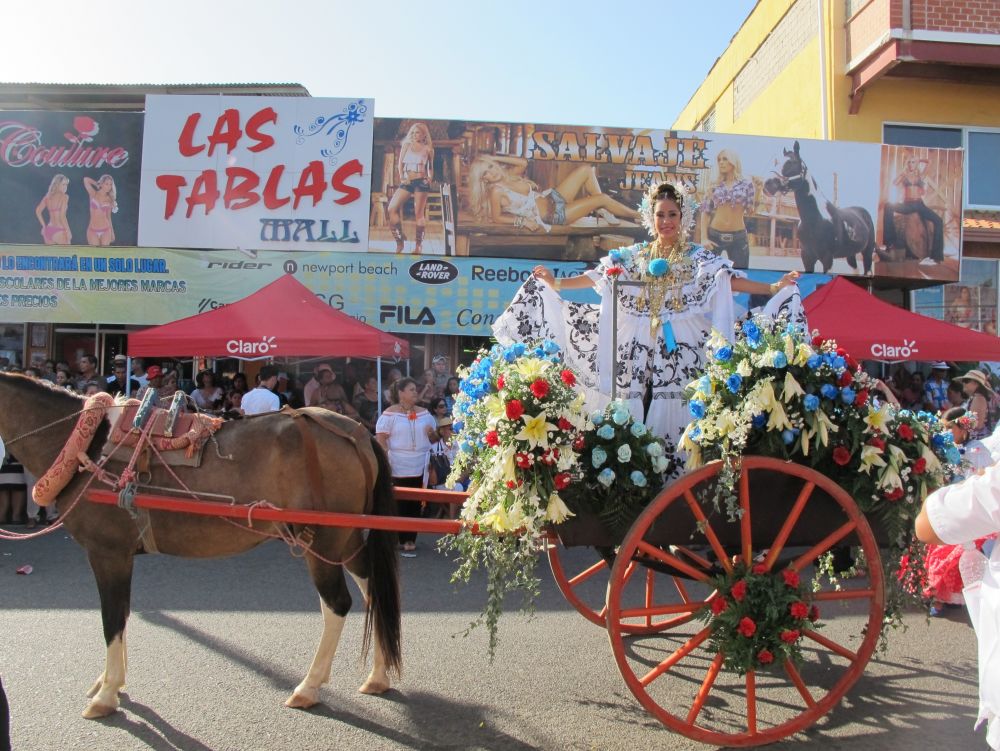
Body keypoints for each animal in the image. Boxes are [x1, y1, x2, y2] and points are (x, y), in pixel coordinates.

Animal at [1, 374, 404, 720]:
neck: (88, 446)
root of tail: (357, 433)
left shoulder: (107, 553)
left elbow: (112, 619)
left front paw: (107, 693)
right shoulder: (120, 556)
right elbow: (124, 614)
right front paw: (110, 682)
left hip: (323, 540)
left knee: (337, 605)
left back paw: (308, 686)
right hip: (345, 540)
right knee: (372, 593)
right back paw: (377, 676)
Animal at [764, 140, 876, 274]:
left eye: (791, 162)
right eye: (775, 162)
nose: (768, 185)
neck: (816, 219)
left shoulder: (827, 259)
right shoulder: (807, 258)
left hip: (867, 253)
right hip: (851, 253)